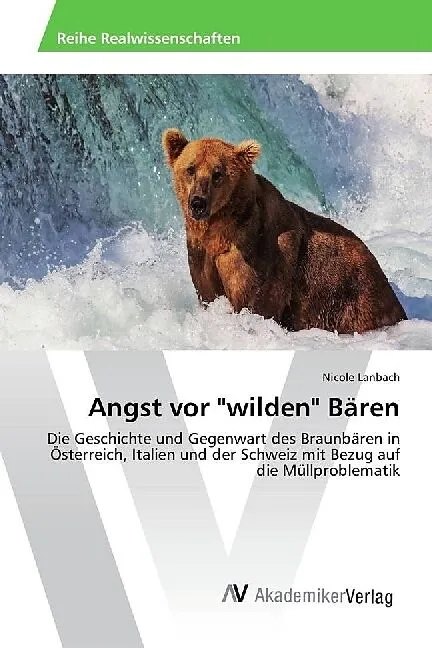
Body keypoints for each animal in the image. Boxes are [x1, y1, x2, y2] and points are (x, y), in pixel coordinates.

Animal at [162, 128, 407, 334]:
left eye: (217, 173)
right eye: (190, 169)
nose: (198, 203)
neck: (219, 229)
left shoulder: (262, 255)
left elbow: (253, 302)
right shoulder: (201, 254)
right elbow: (208, 293)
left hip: (352, 300)